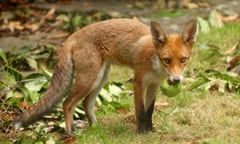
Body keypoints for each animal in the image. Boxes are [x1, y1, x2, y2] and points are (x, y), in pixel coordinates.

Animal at [13, 18, 197, 135]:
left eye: (183, 60)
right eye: (167, 60)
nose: (176, 80)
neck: (155, 64)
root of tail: (72, 36)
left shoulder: (154, 85)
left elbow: (149, 111)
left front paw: (150, 131)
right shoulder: (138, 82)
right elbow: (140, 111)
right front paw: (141, 133)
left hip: (101, 77)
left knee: (86, 103)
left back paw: (96, 128)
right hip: (90, 79)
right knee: (67, 103)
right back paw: (70, 133)